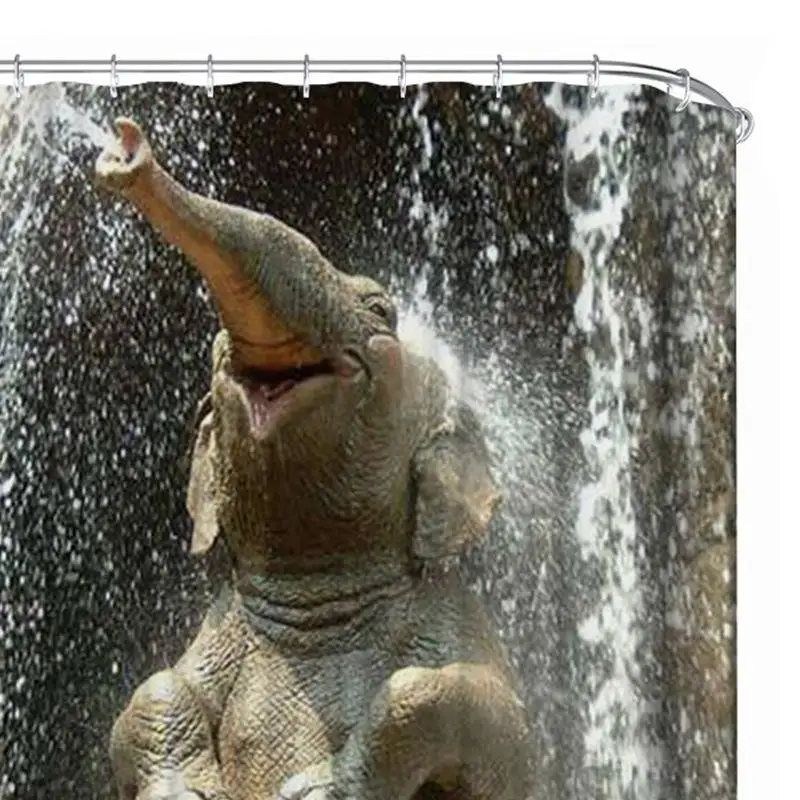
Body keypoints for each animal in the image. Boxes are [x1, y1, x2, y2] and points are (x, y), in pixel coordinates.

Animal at [94, 118, 534, 800]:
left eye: (380, 310)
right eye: (216, 351)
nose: (126, 152)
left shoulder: (451, 617)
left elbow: (502, 732)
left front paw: (320, 789)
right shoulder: (218, 635)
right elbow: (156, 688)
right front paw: (185, 790)